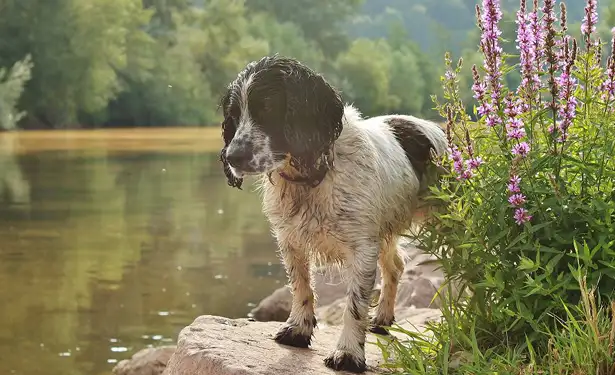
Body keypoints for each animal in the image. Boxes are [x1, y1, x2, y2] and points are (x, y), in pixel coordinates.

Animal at [218, 55, 448, 374]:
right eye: (234, 116)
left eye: (268, 108)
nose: (232, 157)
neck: (312, 174)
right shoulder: (290, 239)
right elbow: (301, 286)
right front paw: (298, 330)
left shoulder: (362, 247)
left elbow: (354, 306)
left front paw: (348, 354)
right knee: (396, 266)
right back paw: (383, 319)